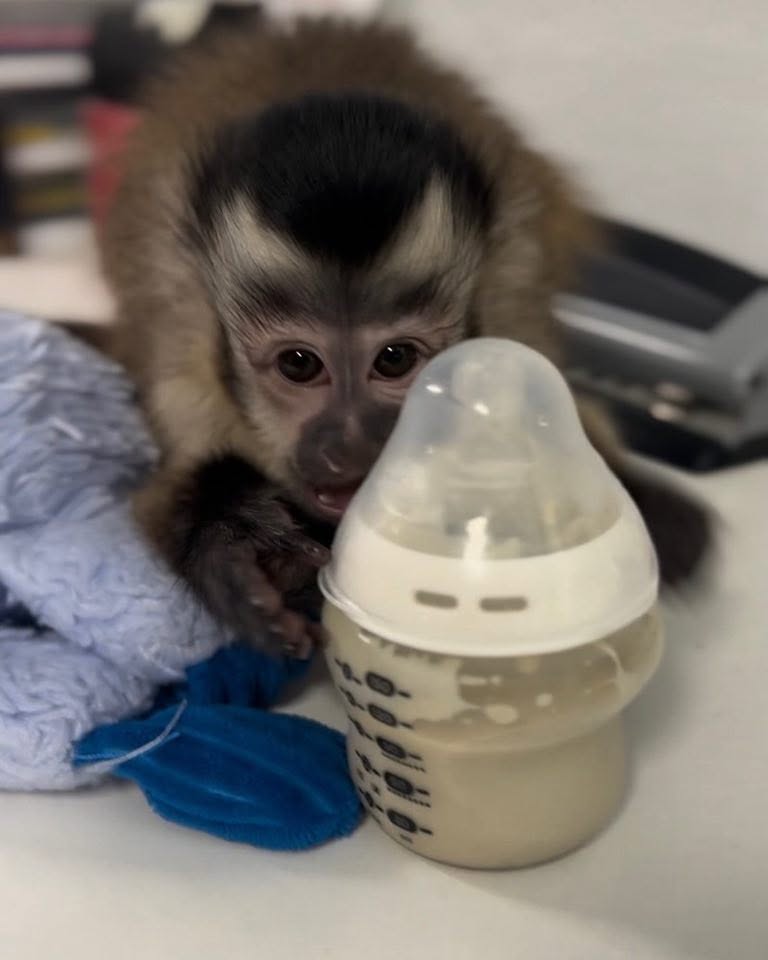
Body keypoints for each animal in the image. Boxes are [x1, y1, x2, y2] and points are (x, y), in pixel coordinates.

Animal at [97, 15, 712, 657]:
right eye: (299, 364)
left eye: (394, 360)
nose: (351, 444)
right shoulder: (179, 345)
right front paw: (234, 538)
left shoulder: (515, 300)